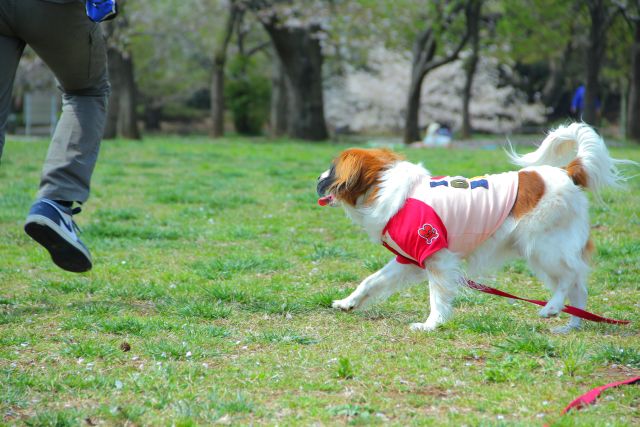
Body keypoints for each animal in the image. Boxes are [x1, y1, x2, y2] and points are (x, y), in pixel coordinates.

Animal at [316, 122, 632, 332]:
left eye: (330, 170)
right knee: (578, 289)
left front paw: (431, 324)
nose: (317, 177)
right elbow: (372, 281)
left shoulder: (437, 257)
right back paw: (571, 325)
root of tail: (567, 172)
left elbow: (437, 295)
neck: (385, 186)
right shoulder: (410, 259)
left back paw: (553, 308)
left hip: (544, 248)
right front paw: (348, 302)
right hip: (543, 254)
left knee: (571, 275)